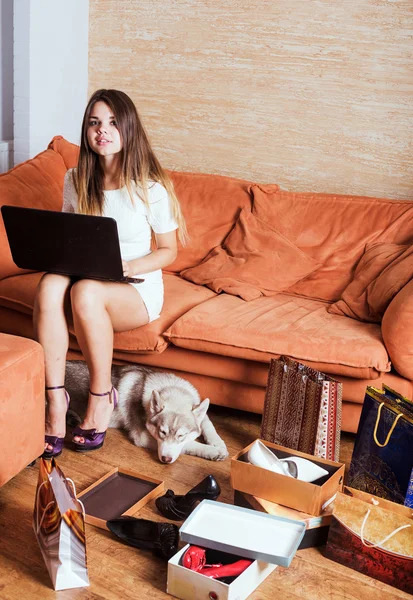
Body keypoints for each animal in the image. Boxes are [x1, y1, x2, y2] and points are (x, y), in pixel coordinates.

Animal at [64, 360, 229, 464]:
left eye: (181, 435)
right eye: (162, 432)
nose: (165, 460)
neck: (172, 390)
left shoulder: (201, 415)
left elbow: (208, 426)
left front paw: (219, 444)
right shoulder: (142, 437)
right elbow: (190, 444)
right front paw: (212, 451)